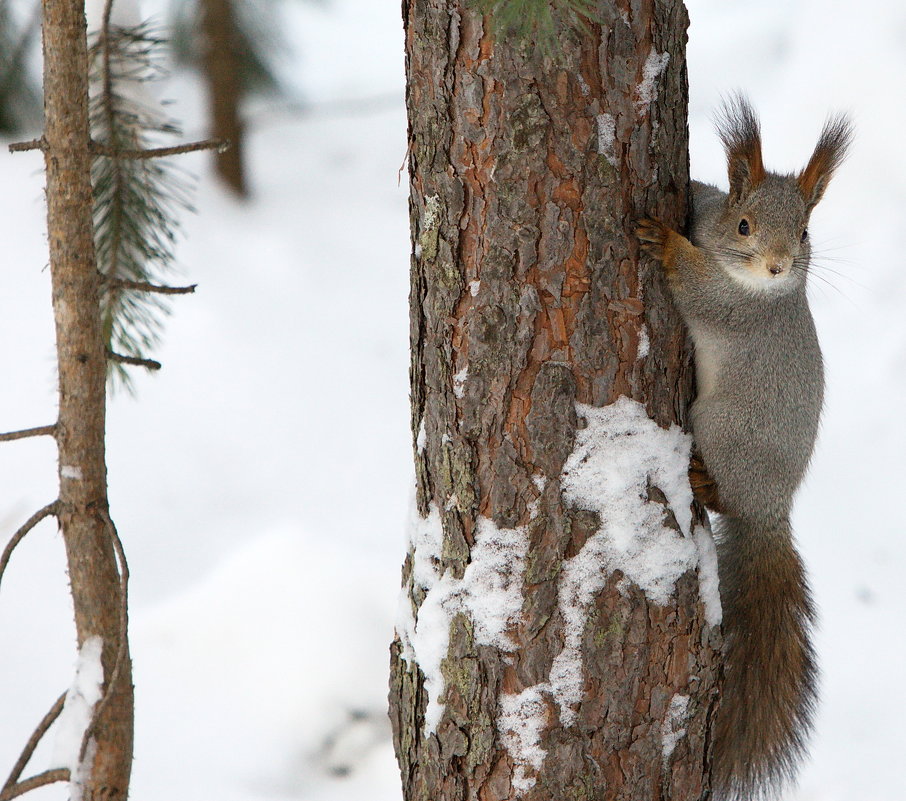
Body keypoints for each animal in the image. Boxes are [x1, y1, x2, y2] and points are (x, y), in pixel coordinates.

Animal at [632, 95, 852, 800]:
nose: (780, 266)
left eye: (805, 233)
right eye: (746, 222)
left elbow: (698, 288)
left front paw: (666, 244)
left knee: (724, 494)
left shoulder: (732, 307)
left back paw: (706, 484)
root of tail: (771, 509)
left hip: (724, 429)